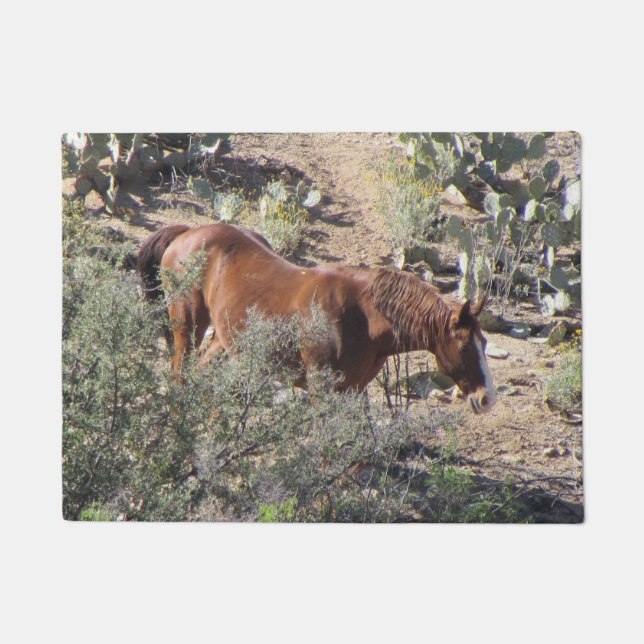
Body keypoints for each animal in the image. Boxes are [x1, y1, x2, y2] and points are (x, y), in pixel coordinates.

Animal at [136, 222, 497, 413]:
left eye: (485, 343)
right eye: (465, 347)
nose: (487, 398)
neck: (362, 318)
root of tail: (188, 233)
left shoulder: (351, 390)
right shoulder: (321, 390)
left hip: (224, 342)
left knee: (200, 374)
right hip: (188, 324)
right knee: (179, 373)